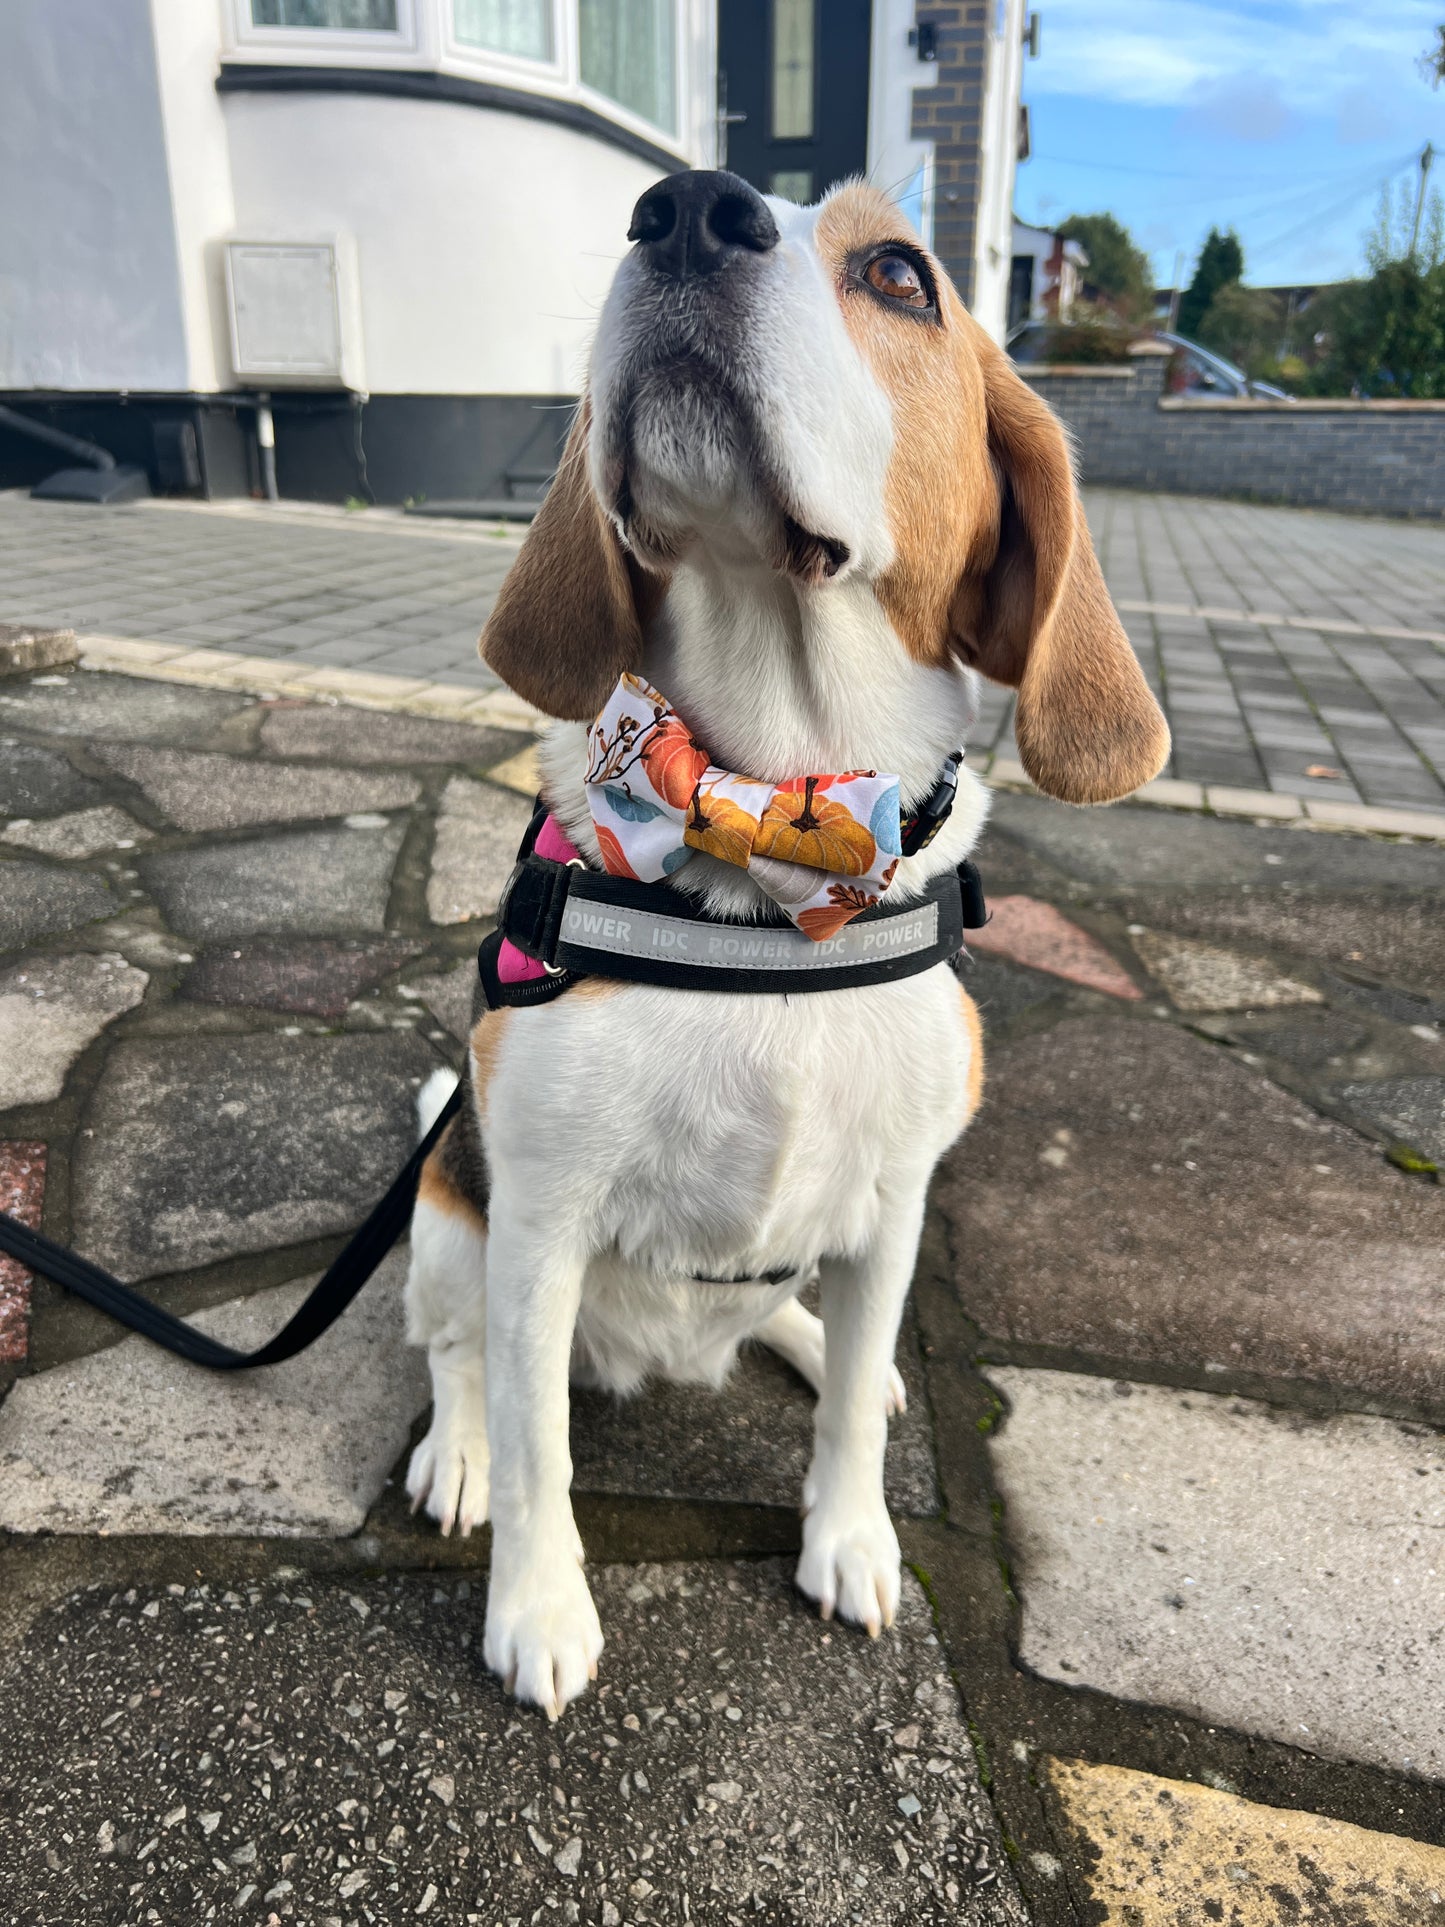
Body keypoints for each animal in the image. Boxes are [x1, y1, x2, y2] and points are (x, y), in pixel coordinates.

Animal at [402, 177, 1171, 1718]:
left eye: (900, 273)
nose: (686, 207)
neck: (770, 817)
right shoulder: (537, 1224)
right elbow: (538, 1444)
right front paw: (539, 1602)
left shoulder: (897, 1202)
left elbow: (857, 1414)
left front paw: (852, 1535)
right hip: (449, 1223)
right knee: (457, 1358)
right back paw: (454, 1451)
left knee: (789, 1322)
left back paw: (817, 1348)